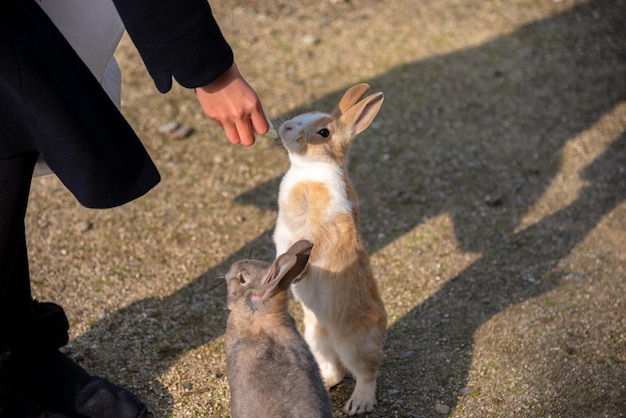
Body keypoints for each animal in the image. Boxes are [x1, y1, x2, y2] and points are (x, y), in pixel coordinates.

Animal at [272, 82, 386, 414]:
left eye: (323, 132)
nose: (286, 126)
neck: (311, 168)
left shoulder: (320, 226)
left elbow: (312, 244)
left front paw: (295, 274)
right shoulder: (282, 233)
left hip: (355, 342)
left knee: (365, 373)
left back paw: (359, 404)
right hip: (315, 337)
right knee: (335, 367)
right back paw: (325, 381)